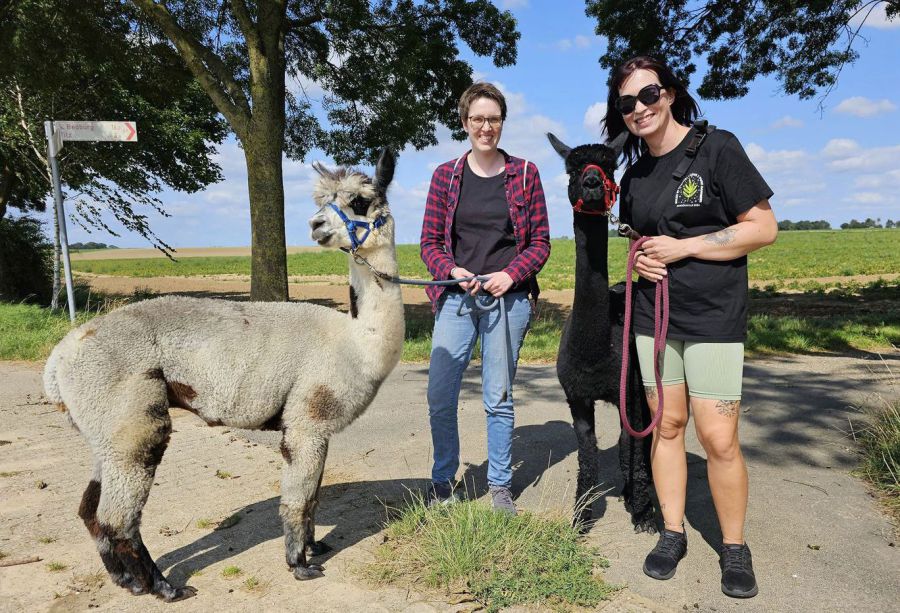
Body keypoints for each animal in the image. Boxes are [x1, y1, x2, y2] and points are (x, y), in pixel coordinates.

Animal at [42, 149, 404, 600]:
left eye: (358, 201)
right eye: (324, 201)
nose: (316, 225)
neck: (355, 342)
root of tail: (59, 358)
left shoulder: (314, 428)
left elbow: (315, 497)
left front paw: (316, 545)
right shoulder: (308, 421)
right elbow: (298, 500)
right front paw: (300, 565)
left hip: (104, 428)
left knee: (90, 511)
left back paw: (128, 581)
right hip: (129, 416)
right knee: (117, 516)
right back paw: (164, 587)